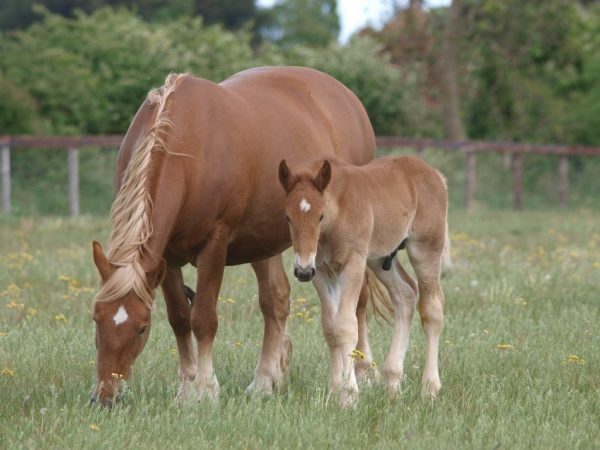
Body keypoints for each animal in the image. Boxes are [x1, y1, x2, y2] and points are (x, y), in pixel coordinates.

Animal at [90, 67, 376, 408]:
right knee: (275, 301)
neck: (186, 143)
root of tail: (348, 98)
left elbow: (203, 319)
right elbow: (179, 318)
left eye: (141, 328)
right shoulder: (166, 257)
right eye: (96, 318)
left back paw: (361, 375)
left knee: (359, 303)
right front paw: (186, 389)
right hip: (264, 244)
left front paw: (205, 390)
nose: (105, 397)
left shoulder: (214, 244)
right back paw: (264, 381)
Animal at [278, 156, 448, 406]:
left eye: (320, 216)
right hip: (381, 258)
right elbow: (331, 328)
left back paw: (430, 388)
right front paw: (334, 390)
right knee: (406, 294)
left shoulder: (353, 266)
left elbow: (346, 326)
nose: (302, 271)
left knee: (432, 307)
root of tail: (434, 173)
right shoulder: (321, 272)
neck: (338, 211)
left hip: (425, 247)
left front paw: (349, 396)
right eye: (288, 217)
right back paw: (393, 384)